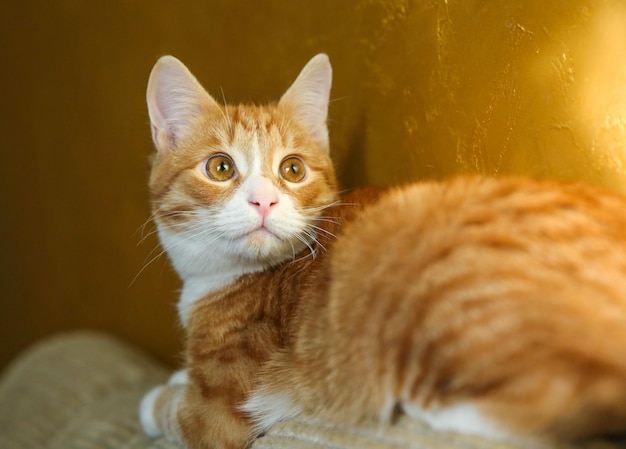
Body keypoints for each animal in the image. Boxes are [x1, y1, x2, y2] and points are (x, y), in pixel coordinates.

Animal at [140, 53, 624, 448]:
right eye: (221, 167)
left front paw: (155, 400)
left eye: (292, 169)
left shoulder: (219, 414)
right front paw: (178, 375)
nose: (264, 201)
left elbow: (176, 413)